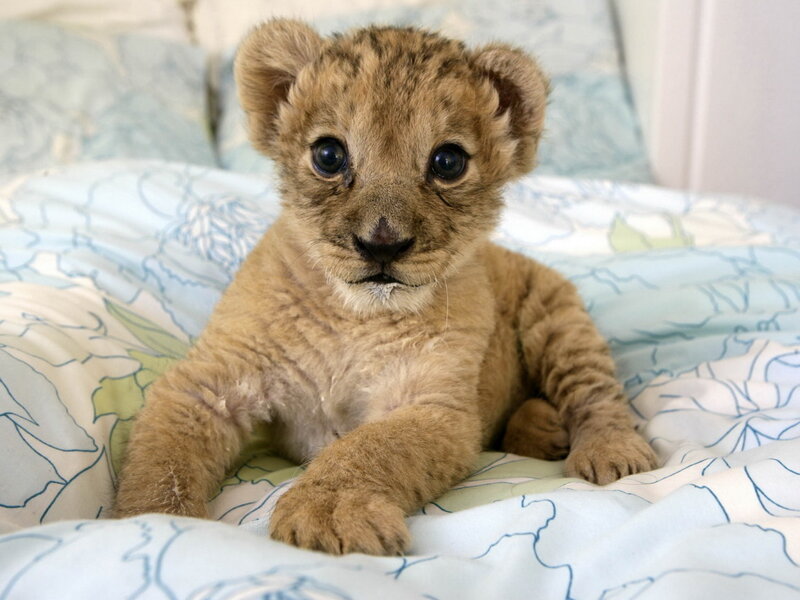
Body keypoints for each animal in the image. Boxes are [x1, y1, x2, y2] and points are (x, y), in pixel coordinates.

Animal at [114, 19, 658, 555]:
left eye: (448, 162)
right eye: (328, 155)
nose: (382, 244)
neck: (353, 316)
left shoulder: (435, 407)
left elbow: (370, 447)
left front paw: (327, 514)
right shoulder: (209, 384)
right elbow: (162, 465)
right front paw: (156, 525)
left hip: (558, 320)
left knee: (596, 393)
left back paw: (609, 453)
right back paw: (542, 429)